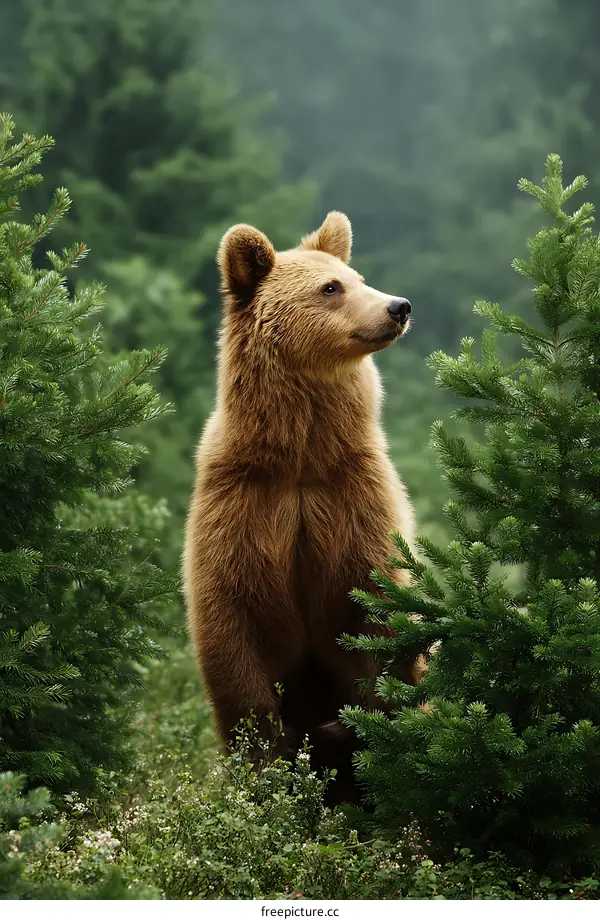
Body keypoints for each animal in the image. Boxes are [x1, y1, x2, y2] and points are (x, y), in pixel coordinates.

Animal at [182, 211, 422, 803]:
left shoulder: (353, 497)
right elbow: (234, 635)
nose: (399, 306)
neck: (302, 452)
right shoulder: (242, 503)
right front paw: (266, 762)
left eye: (358, 277)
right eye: (331, 287)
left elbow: (377, 615)